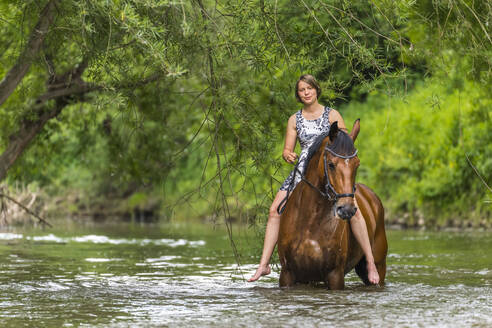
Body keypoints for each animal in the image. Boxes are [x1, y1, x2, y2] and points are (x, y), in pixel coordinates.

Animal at [276, 119, 388, 288]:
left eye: (357, 164)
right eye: (331, 164)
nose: (347, 209)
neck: (310, 221)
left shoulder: (335, 274)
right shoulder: (288, 274)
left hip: (379, 266)